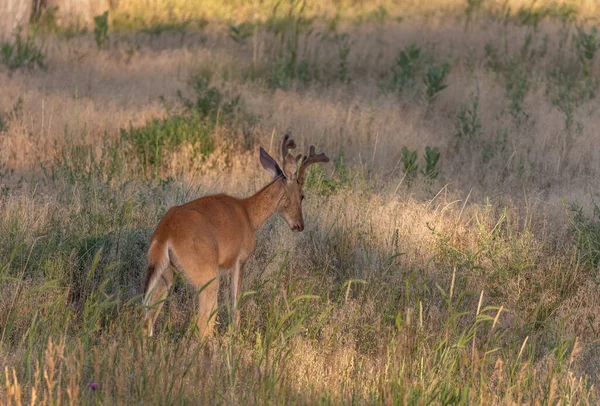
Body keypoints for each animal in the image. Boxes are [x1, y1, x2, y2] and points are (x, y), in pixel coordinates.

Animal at [142, 134, 328, 340]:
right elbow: (235, 303)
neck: (249, 214)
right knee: (203, 323)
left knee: (148, 320)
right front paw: (236, 335)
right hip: (206, 276)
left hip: (167, 273)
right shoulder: (240, 260)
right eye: (302, 195)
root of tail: (164, 234)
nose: (300, 225)